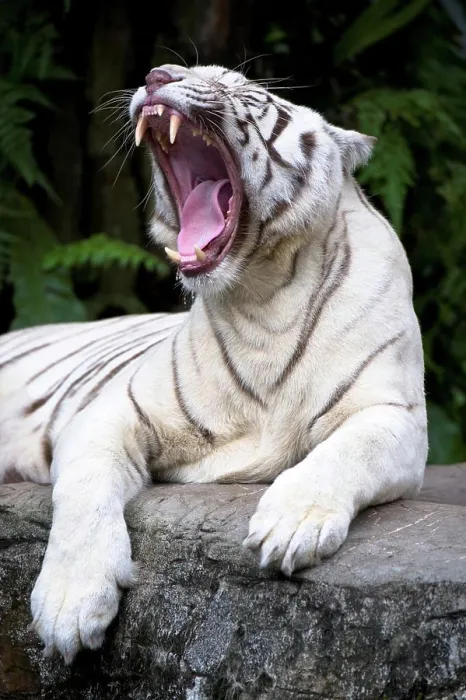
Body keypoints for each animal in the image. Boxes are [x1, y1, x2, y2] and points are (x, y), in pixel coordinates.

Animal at [0, 63, 427, 663]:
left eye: (242, 88)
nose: (157, 75)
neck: (266, 295)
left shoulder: (394, 414)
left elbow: (348, 451)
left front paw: (291, 524)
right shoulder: (115, 411)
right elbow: (82, 489)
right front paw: (70, 604)